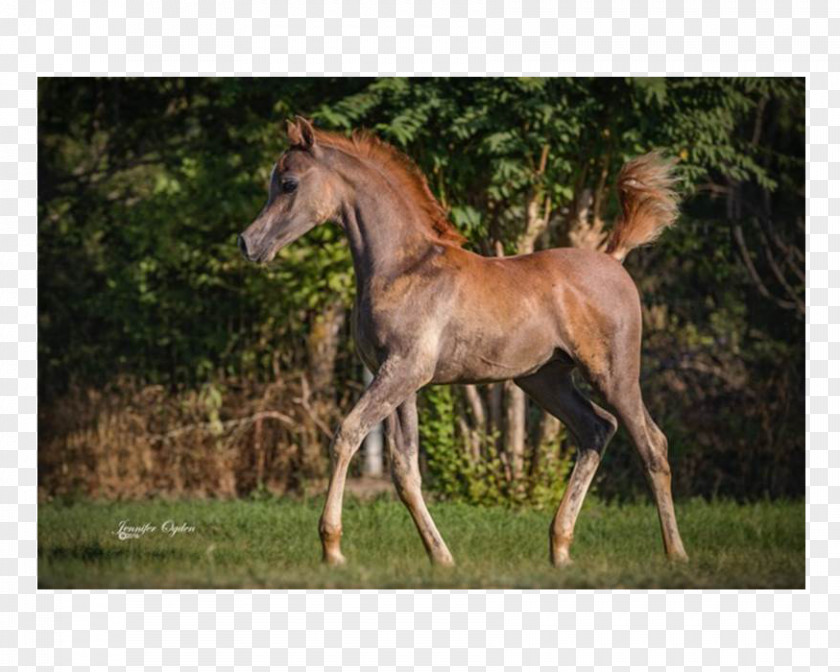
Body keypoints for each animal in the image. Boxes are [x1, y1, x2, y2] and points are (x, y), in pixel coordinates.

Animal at [238, 117, 688, 568]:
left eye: (289, 183)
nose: (247, 243)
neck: (400, 266)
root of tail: (613, 258)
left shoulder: (404, 370)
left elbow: (348, 433)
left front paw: (332, 548)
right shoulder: (398, 379)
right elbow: (404, 470)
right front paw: (441, 557)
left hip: (613, 374)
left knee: (653, 445)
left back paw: (675, 553)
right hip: (544, 379)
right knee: (596, 429)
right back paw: (560, 549)